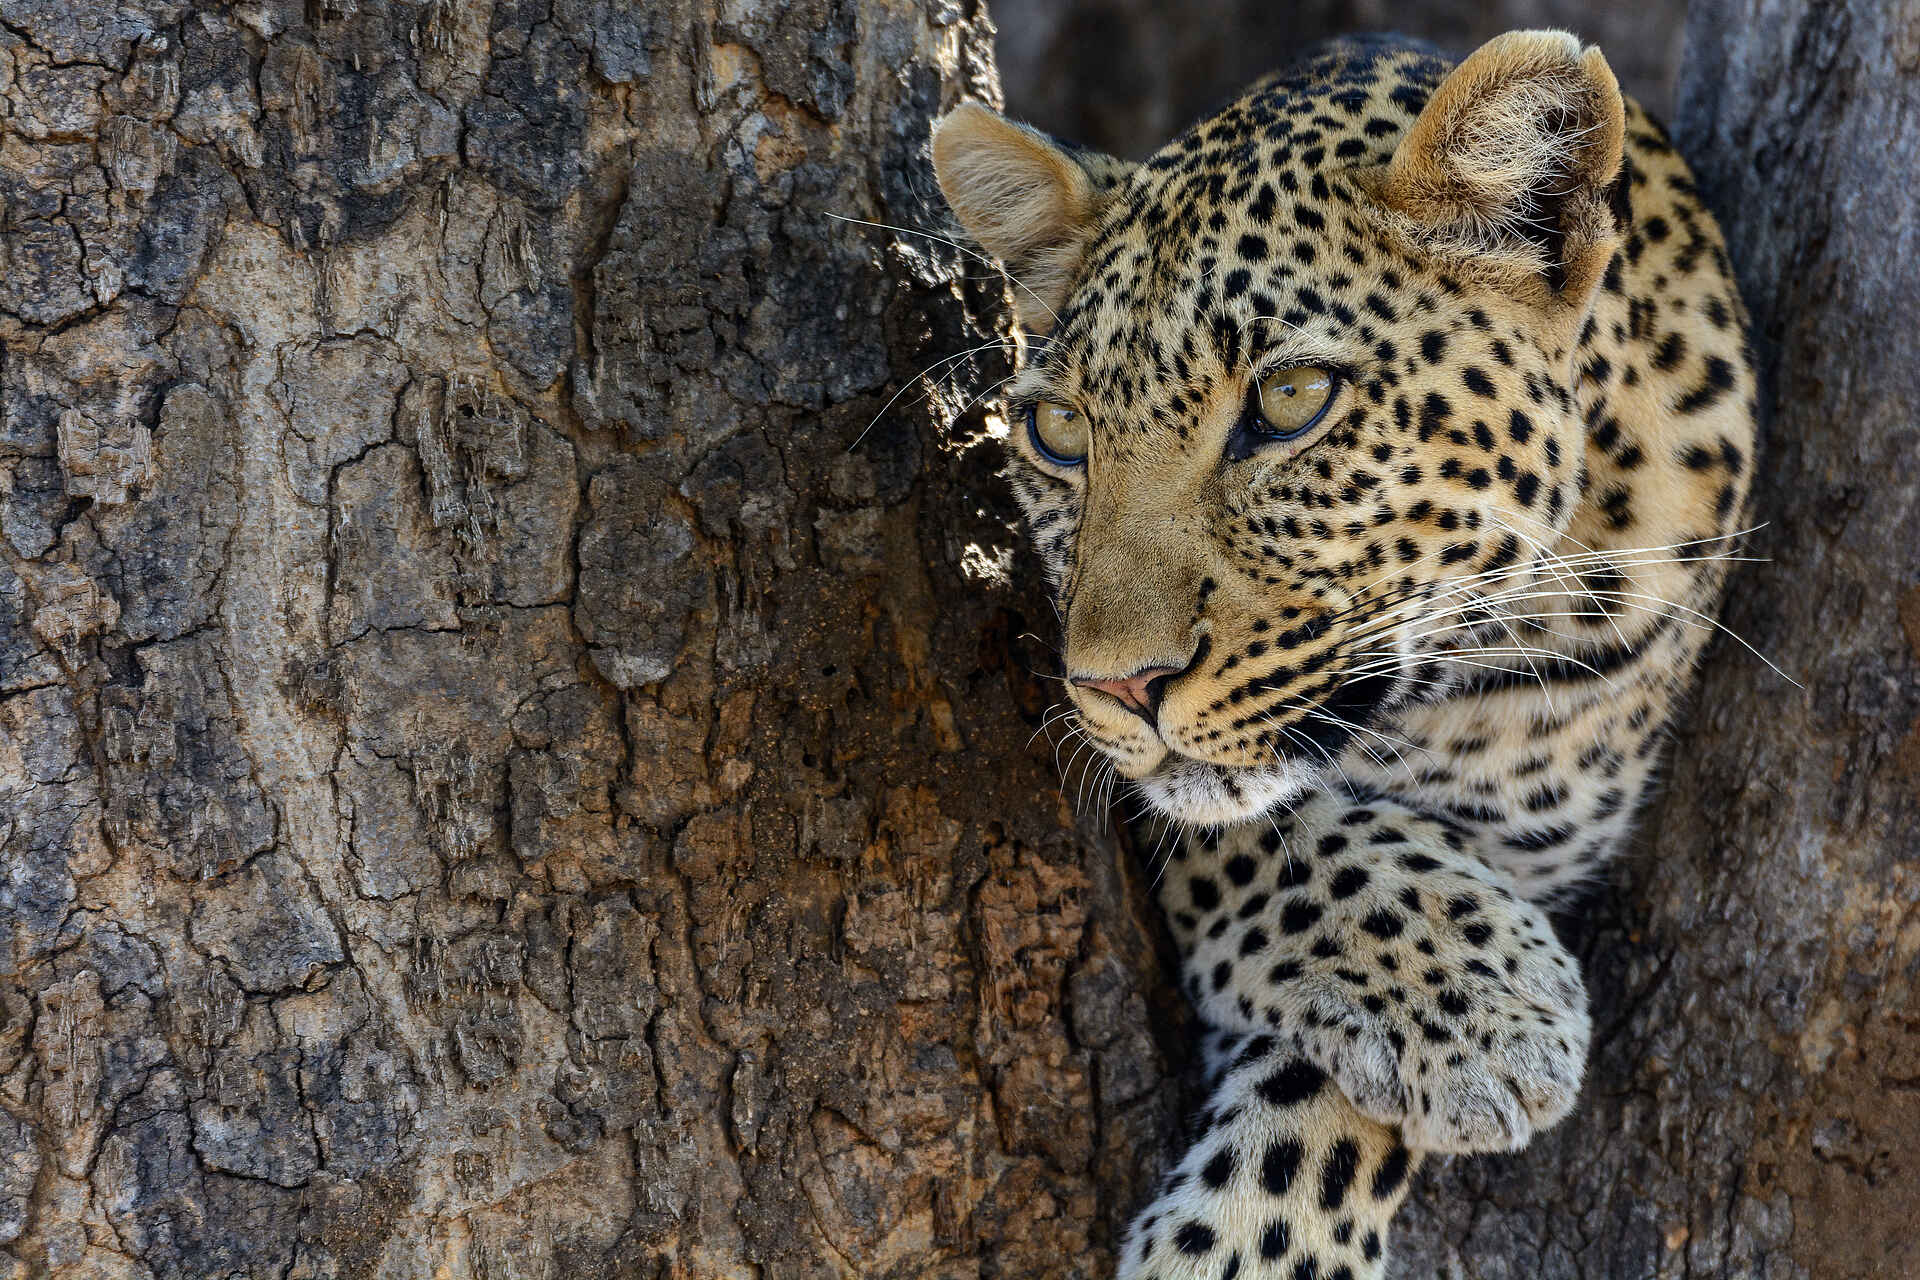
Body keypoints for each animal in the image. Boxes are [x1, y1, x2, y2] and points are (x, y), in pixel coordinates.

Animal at [928, 28, 1756, 1280]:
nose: (1117, 683)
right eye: (1058, 432)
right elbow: (1271, 837)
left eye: (1291, 399)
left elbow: (1318, 1106)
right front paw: (1486, 1001)